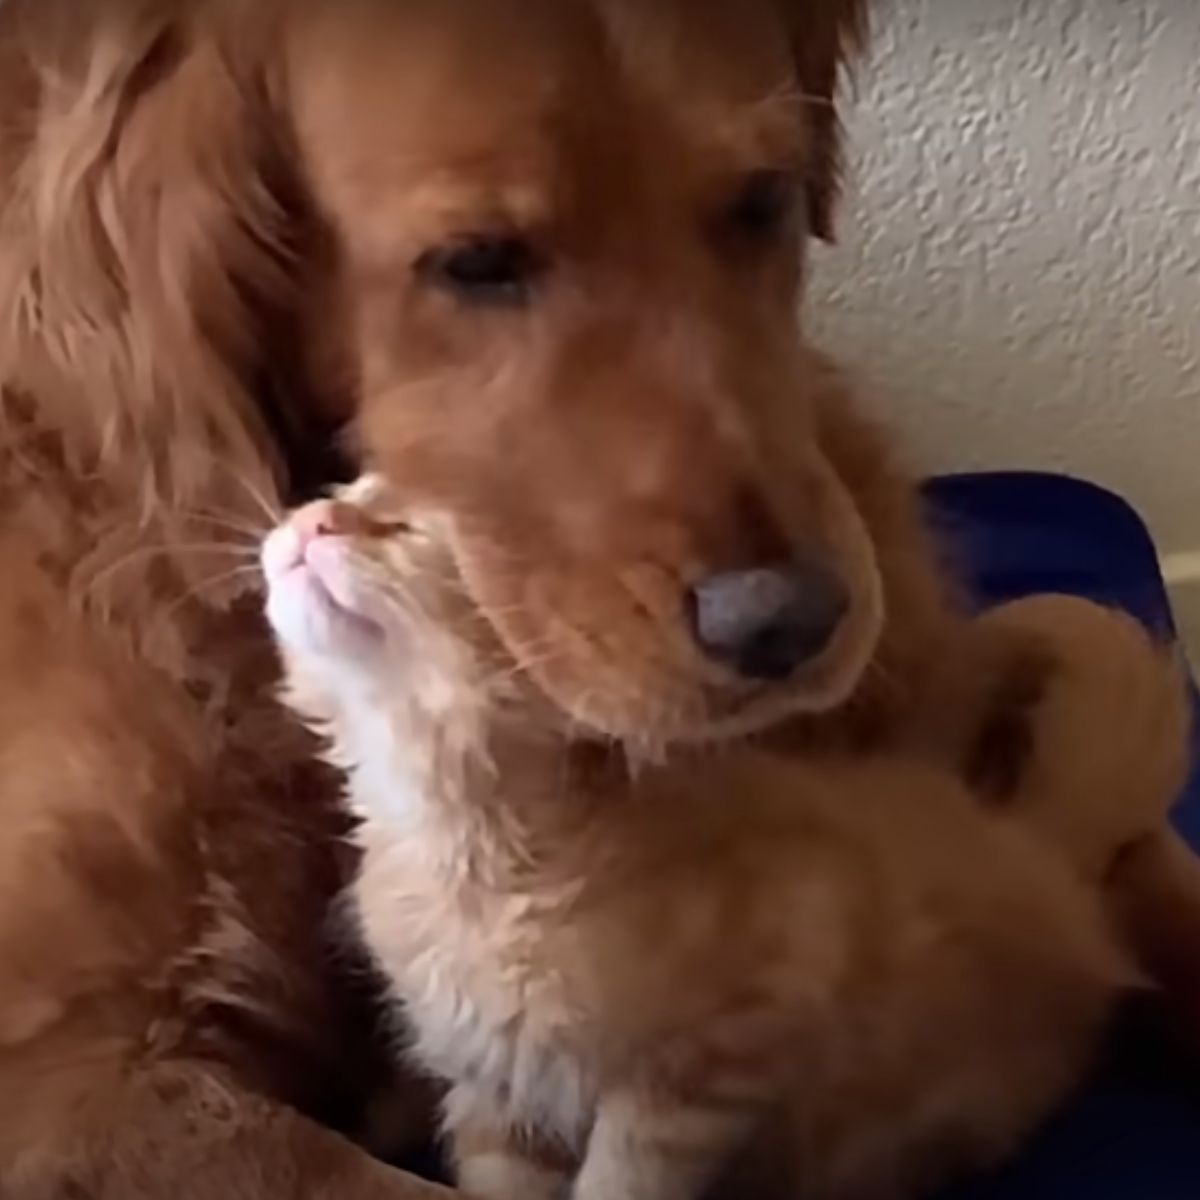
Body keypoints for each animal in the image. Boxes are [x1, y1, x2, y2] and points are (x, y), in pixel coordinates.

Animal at [260, 477, 1123, 1200]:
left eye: (398, 525)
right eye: (339, 493)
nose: (311, 518)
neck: (471, 857)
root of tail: (1044, 859)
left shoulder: (711, 1060)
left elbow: (622, 1184)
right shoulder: (493, 1096)